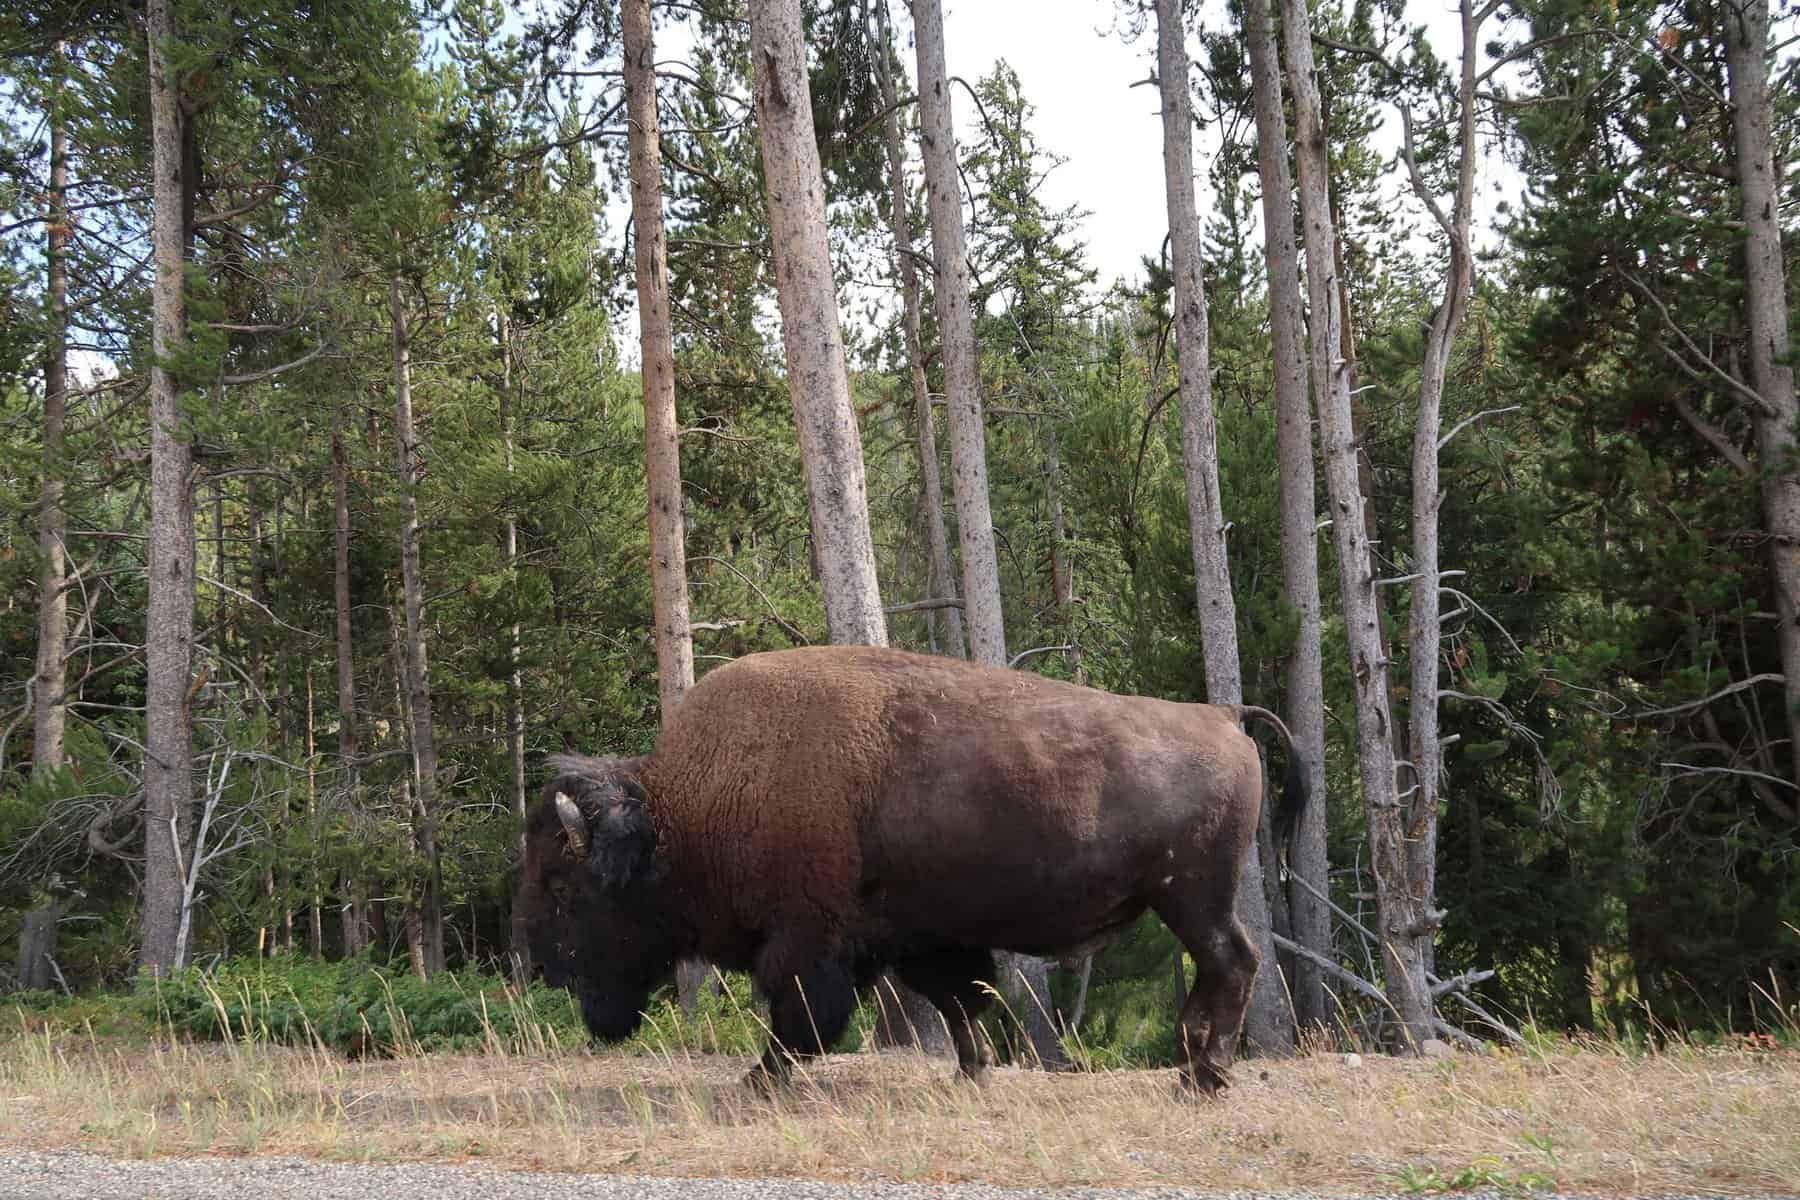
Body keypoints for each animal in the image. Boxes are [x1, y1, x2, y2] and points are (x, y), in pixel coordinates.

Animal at [514, 647, 1303, 1101]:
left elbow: (799, 1015)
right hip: (1188, 901)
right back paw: (1193, 1069)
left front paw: (760, 1078)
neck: (692, 806)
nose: (540, 962)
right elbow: (961, 1001)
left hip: (1194, 898)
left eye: (562, 884)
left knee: (1233, 963)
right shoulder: (920, 938)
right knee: (1224, 969)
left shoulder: (808, 939)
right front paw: (970, 1071)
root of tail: (1222, 714)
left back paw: (1206, 1077)